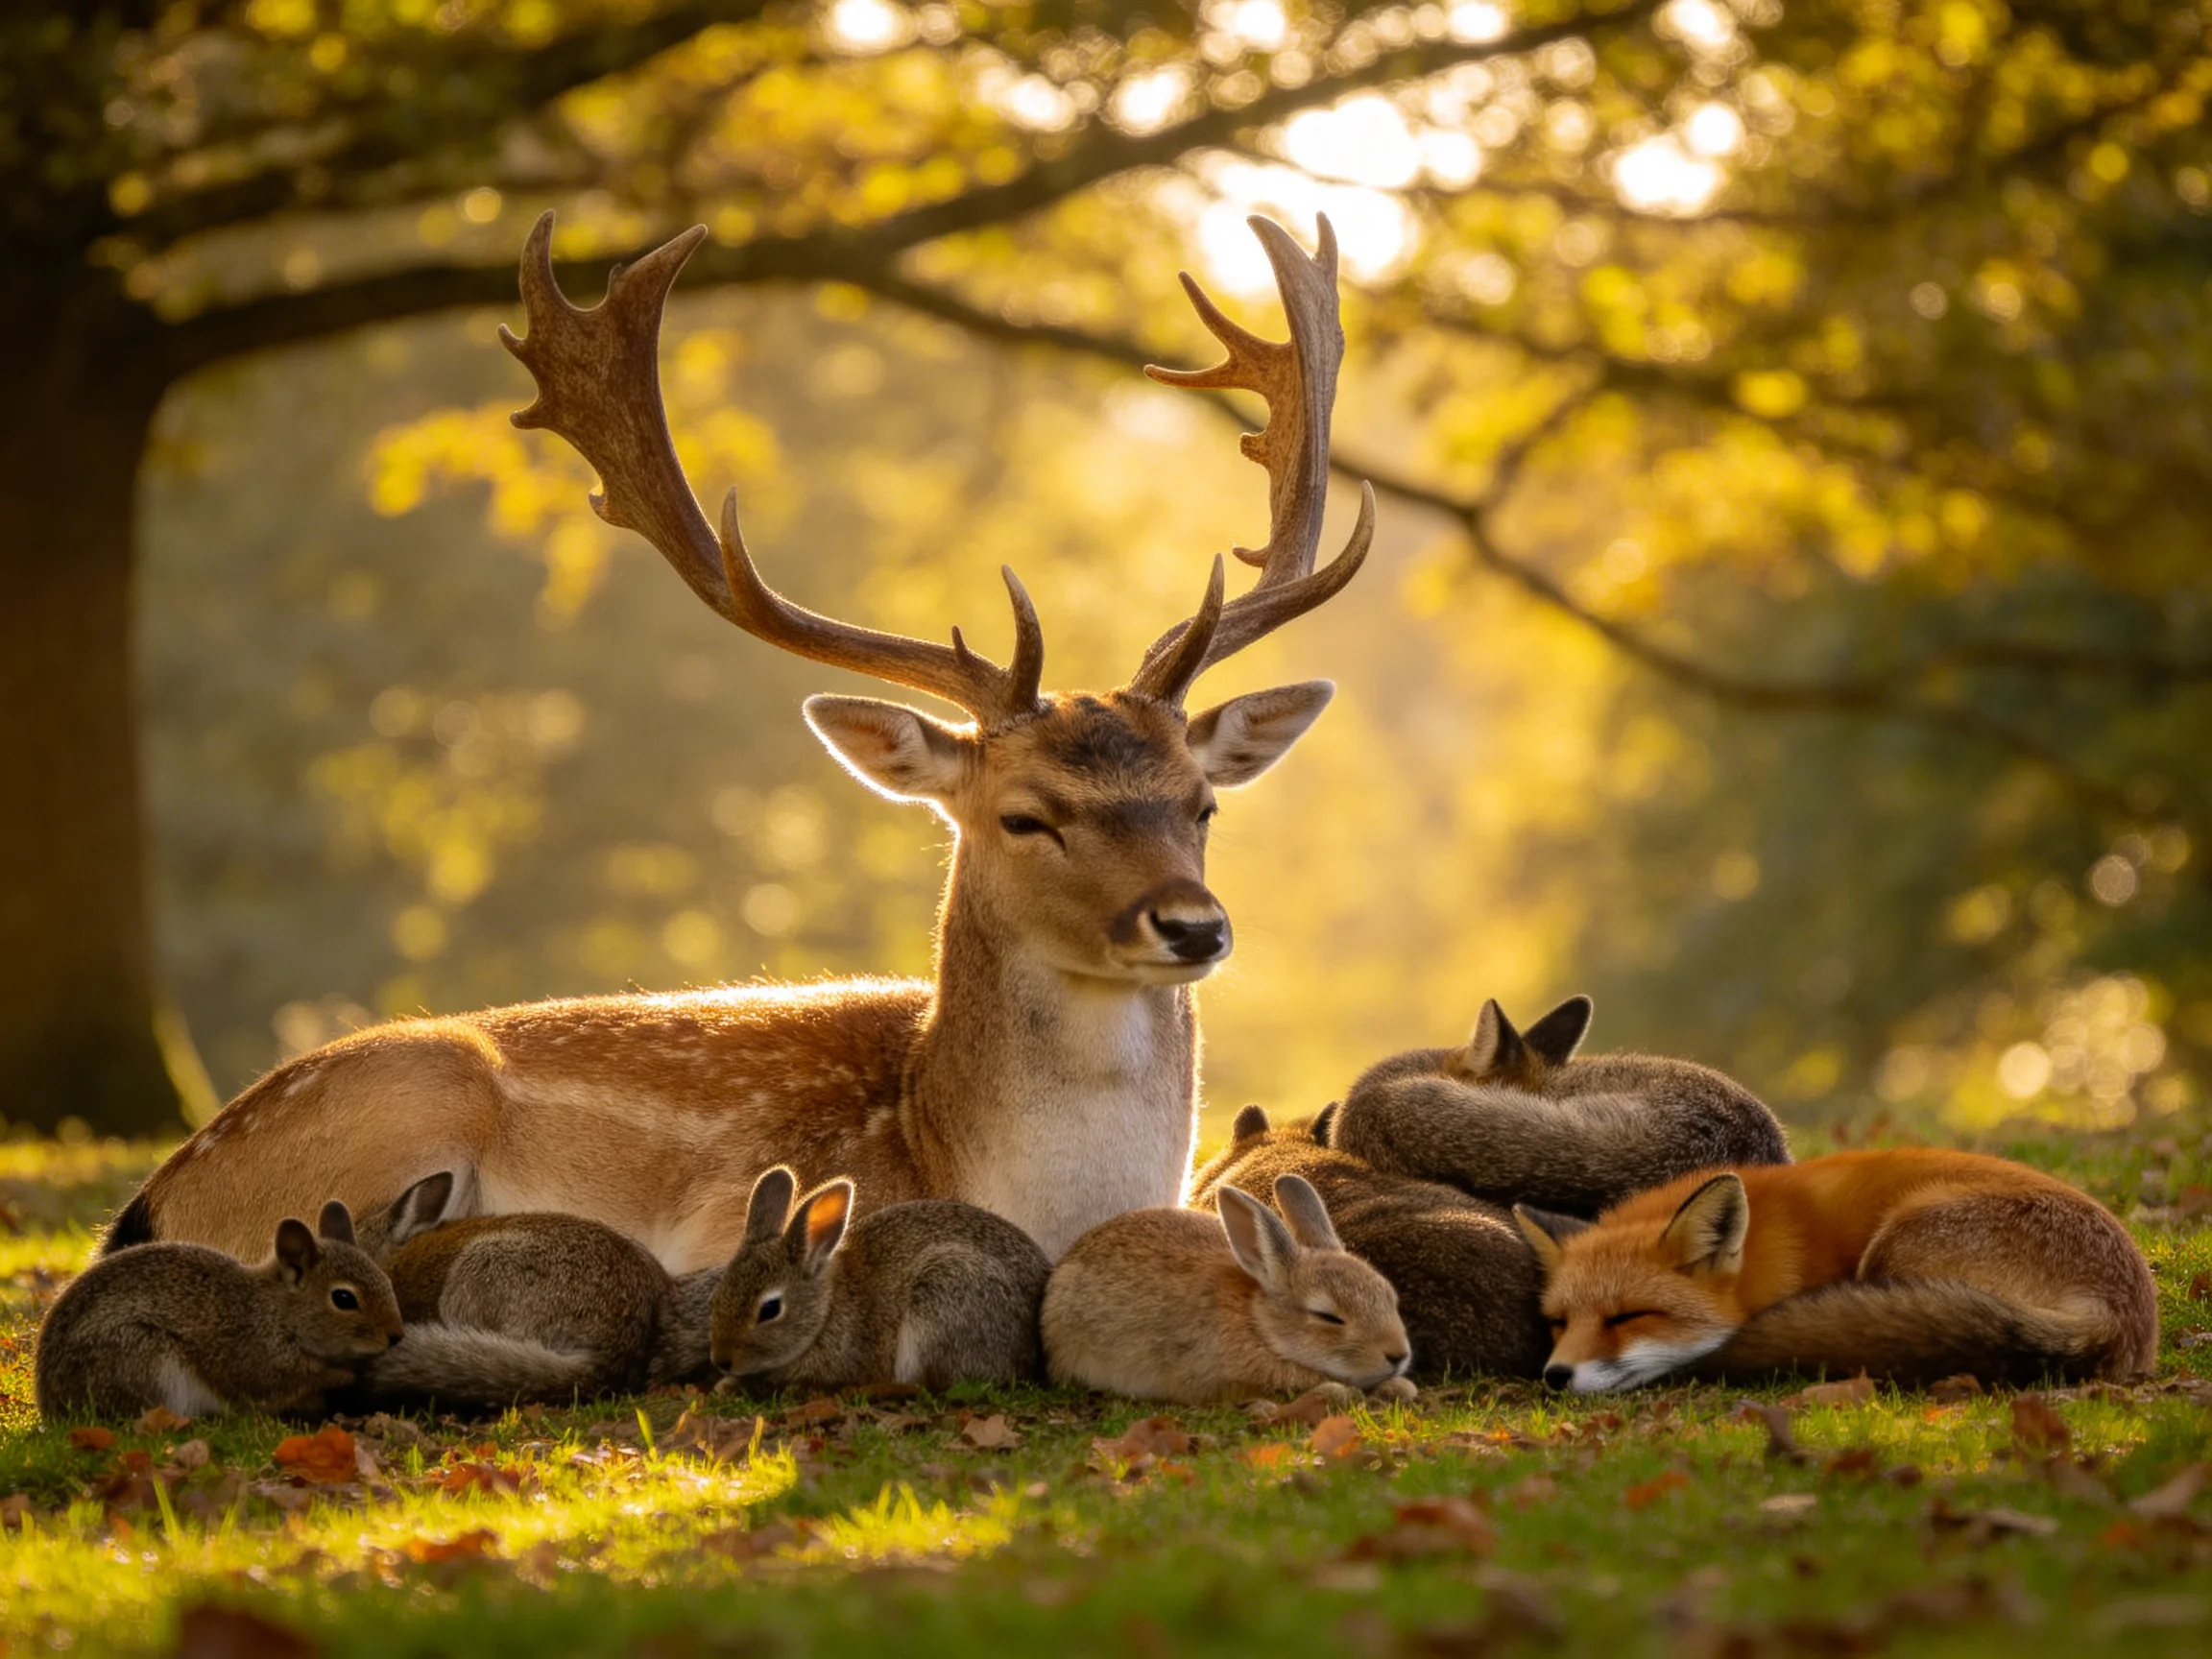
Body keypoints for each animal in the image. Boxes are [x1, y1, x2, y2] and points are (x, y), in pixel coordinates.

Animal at [106, 210, 1375, 1268]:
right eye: (1025, 815)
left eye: (1203, 804)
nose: (1193, 924)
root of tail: (153, 1198)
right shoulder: (732, 1216)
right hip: (397, 1103)